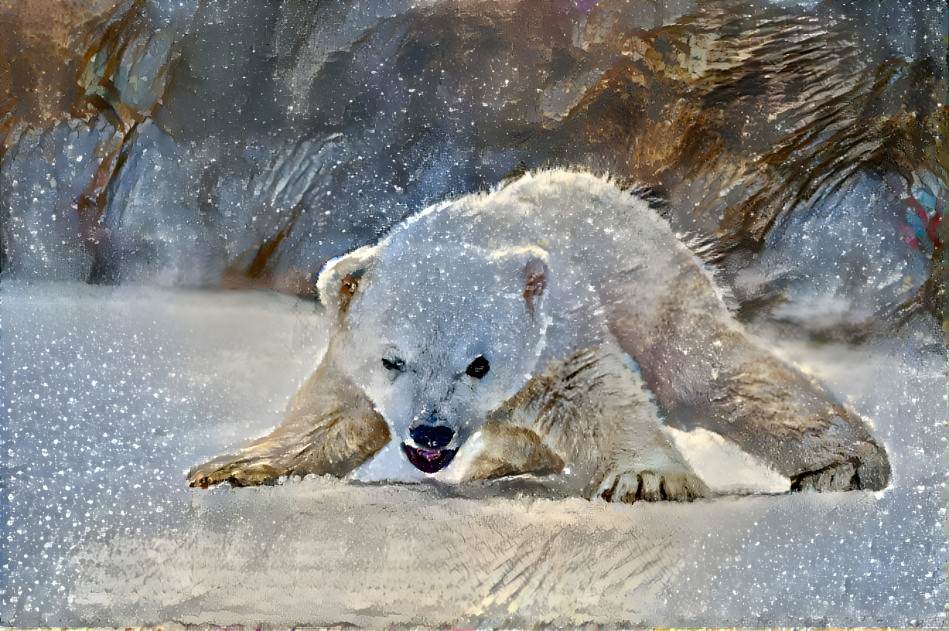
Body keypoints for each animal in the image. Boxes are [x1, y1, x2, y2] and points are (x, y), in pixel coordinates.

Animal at [191, 170, 888, 502]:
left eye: (478, 364)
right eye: (392, 360)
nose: (430, 432)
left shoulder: (557, 339)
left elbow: (600, 399)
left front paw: (648, 481)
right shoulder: (349, 351)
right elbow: (333, 418)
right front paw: (232, 467)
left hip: (652, 291)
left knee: (707, 372)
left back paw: (848, 465)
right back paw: (496, 463)